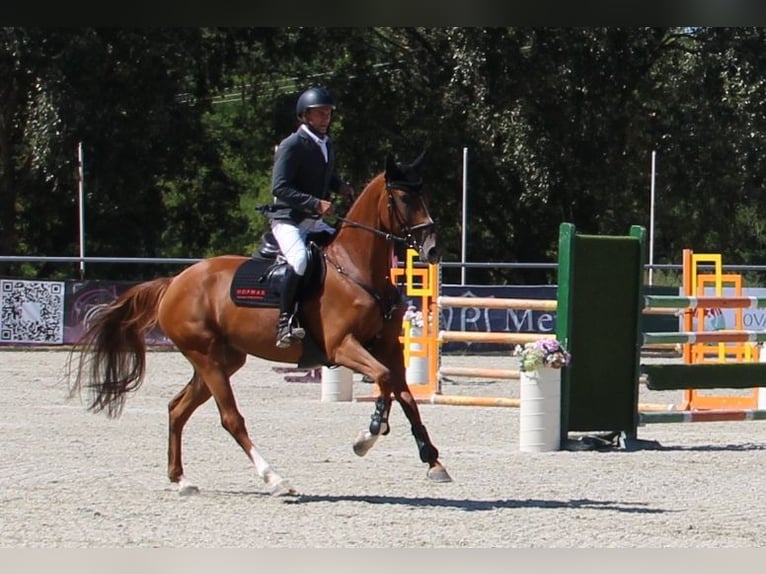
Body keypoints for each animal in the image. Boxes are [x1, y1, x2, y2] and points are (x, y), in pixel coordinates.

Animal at [67, 152, 450, 496]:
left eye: (427, 196)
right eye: (404, 198)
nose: (432, 250)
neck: (355, 268)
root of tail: (175, 282)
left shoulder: (387, 348)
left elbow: (405, 395)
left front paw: (432, 460)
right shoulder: (342, 346)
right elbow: (384, 381)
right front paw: (368, 435)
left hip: (223, 359)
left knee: (177, 408)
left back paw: (182, 480)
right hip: (206, 356)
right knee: (231, 418)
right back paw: (275, 479)